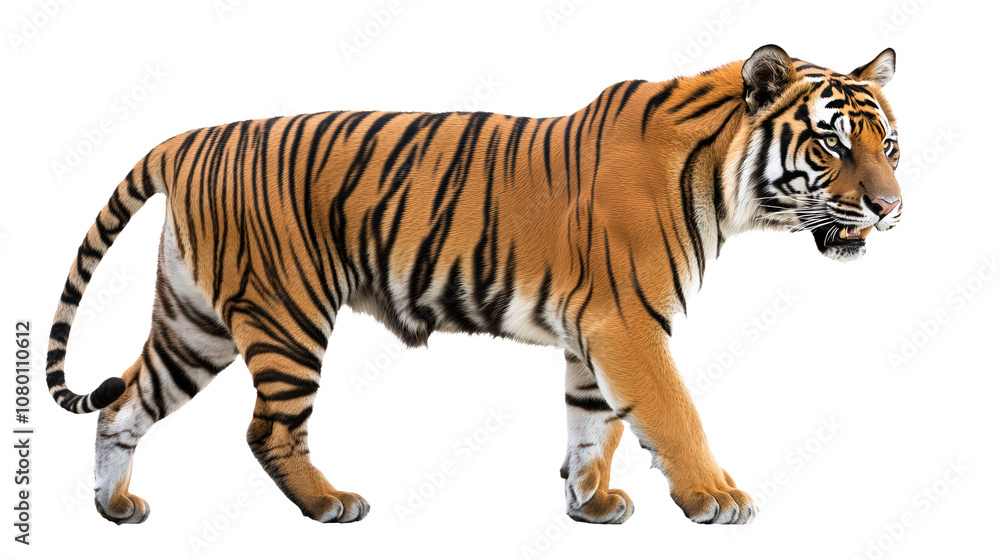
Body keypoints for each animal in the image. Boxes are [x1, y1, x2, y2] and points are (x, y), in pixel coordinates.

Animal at [47, 44, 902, 526]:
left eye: (888, 145)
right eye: (831, 144)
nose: (891, 208)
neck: (721, 183)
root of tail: (191, 137)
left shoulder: (592, 334)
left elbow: (593, 426)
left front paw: (591, 504)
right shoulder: (628, 322)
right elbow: (671, 413)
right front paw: (716, 498)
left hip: (195, 324)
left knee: (123, 403)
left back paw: (114, 508)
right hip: (286, 315)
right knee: (268, 430)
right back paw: (329, 504)